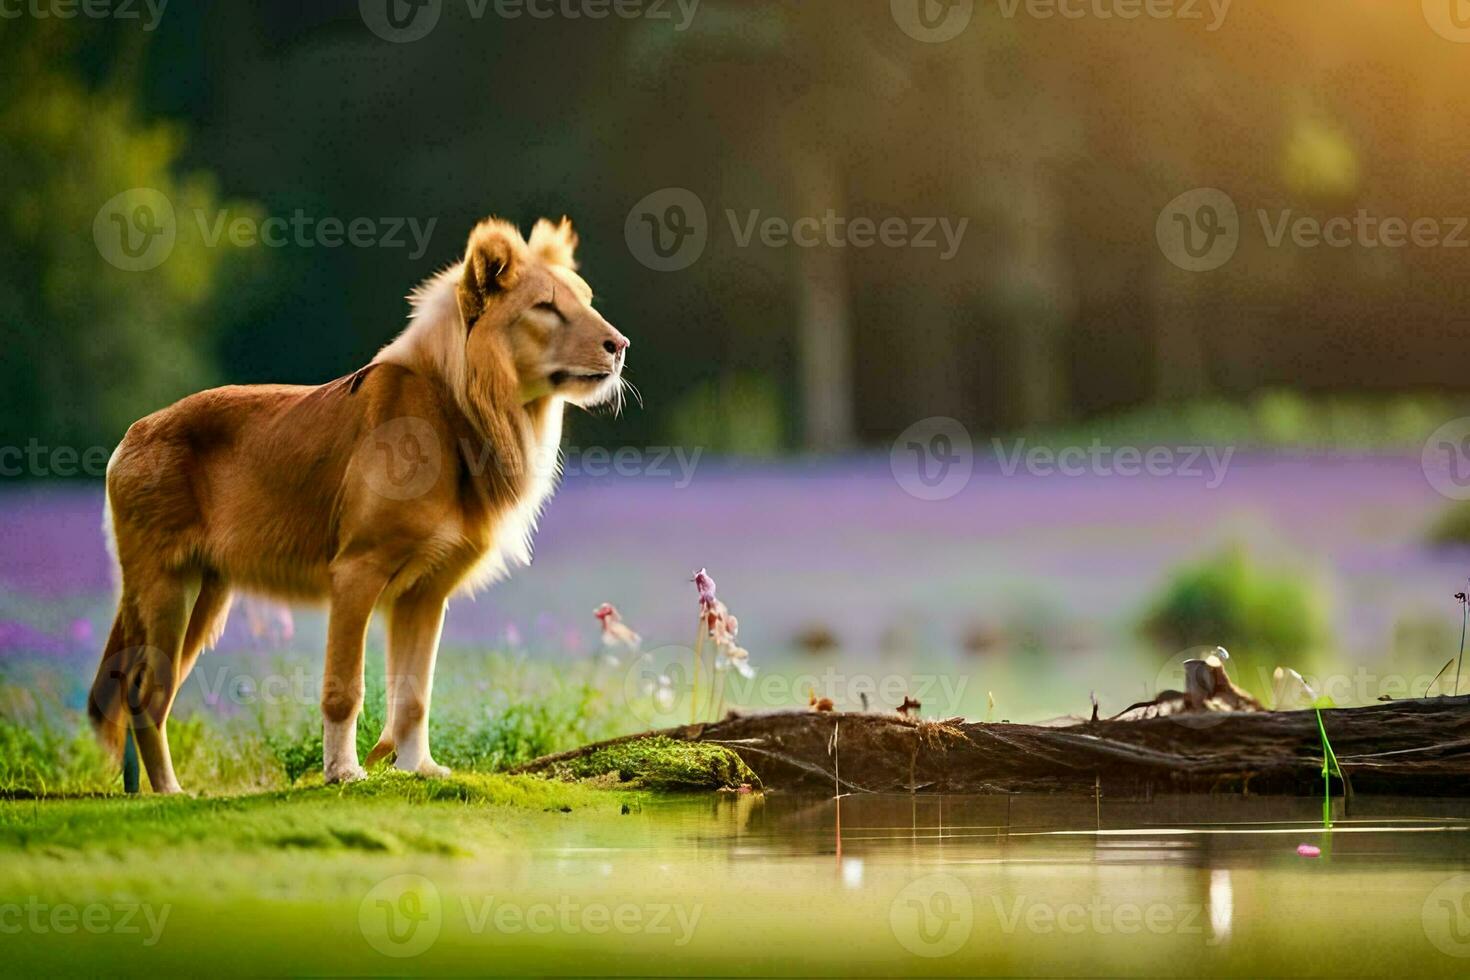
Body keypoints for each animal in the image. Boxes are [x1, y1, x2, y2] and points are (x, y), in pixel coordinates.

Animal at [85, 214, 626, 787]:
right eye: (546, 307)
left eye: (585, 300)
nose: (620, 345)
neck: (464, 414)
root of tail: (132, 436)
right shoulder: (356, 572)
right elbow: (345, 689)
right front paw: (344, 773)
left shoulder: (424, 594)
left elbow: (414, 696)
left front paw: (418, 768)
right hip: (165, 589)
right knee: (146, 696)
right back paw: (170, 793)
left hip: (204, 599)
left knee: (144, 694)